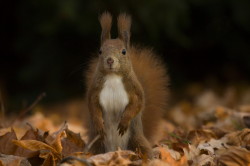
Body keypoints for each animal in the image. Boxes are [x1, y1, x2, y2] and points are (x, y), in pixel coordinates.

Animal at [85, 12, 169, 158]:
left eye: (124, 51)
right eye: (100, 51)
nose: (110, 60)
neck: (113, 77)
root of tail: (115, 150)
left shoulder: (134, 89)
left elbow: (138, 104)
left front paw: (125, 121)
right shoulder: (95, 89)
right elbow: (92, 106)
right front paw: (99, 124)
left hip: (136, 140)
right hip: (96, 144)